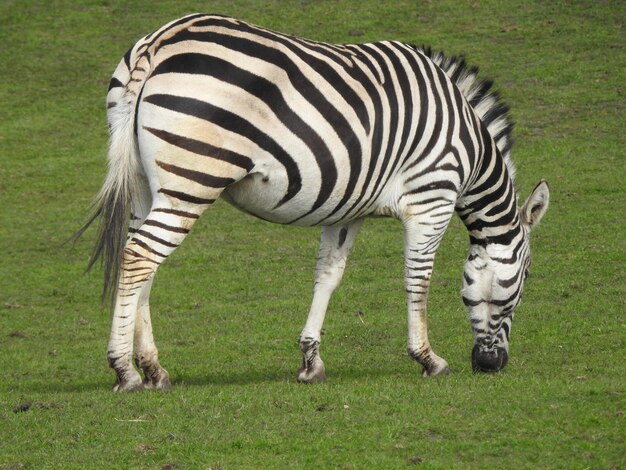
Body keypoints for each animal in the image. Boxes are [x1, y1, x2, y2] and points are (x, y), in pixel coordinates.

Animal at [81, 12, 544, 392]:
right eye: (525, 279)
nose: (492, 365)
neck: (470, 150)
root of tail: (161, 40)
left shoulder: (349, 208)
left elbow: (328, 276)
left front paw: (310, 361)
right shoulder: (431, 199)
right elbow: (419, 280)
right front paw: (428, 359)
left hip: (146, 183)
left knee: (138, 261)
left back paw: (153, 369)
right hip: (193, 180)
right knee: (140, 256)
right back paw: (125, 370)